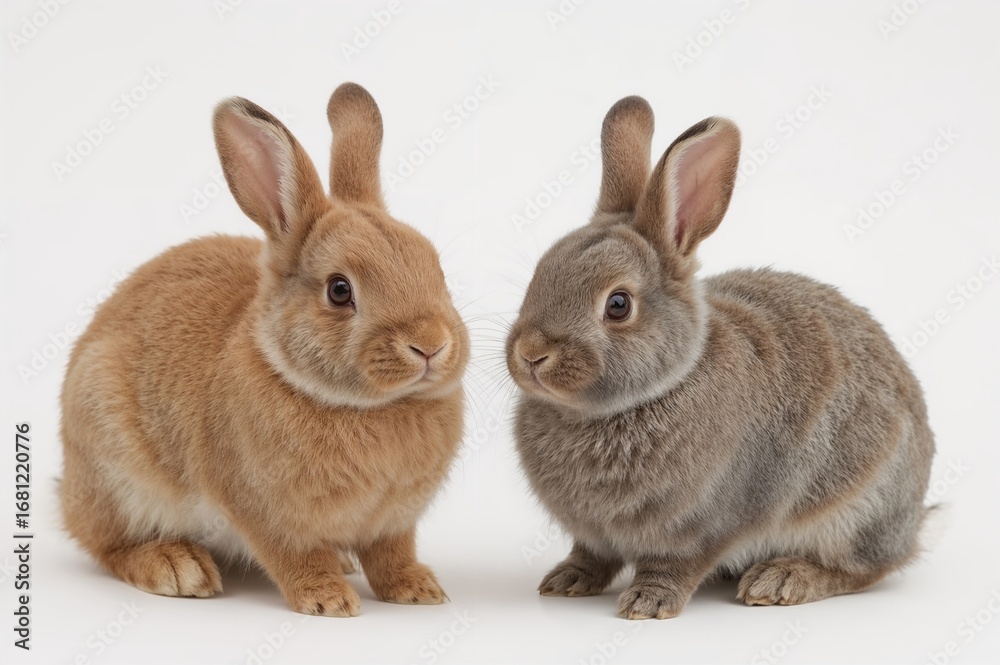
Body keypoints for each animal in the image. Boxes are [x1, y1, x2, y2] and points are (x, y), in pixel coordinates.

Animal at [59, 83, 469, 617]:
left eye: (435, 267)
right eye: (340, 290)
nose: (431, 345)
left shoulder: (393, 523)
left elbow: (391, 554)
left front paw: (417, 590)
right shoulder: (265, 512)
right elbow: (293, 555)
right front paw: (327, 600)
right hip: (114, 469)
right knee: (106, 543)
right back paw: (176, 567)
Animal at [505, 96, 935, 619]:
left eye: (618, 304)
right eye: (540, 273)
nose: (531, 354)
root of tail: (914, 516)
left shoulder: (703, 525)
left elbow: (677, 565)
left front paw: (648, 603)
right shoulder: (593, 535)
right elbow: (592, 554)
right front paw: (567, 580)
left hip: (857, 513)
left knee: (863, 569)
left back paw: (780, 580)